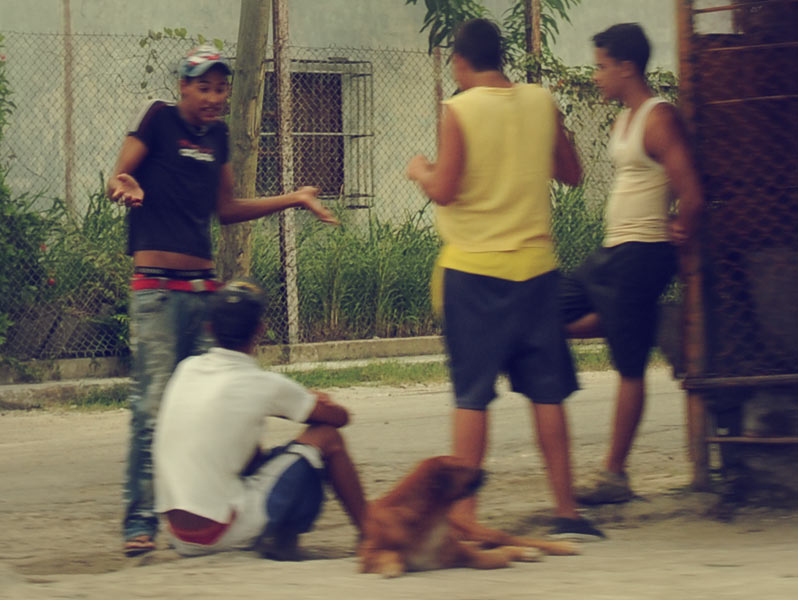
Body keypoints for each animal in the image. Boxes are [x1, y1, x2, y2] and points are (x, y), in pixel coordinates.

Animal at [360, 454, 580, 576]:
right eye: (461, 468)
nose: (486, 471)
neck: (428, 519)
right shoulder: (368, 555)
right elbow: (388, 554)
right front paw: (391, 567)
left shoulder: (461, 551)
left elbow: (494, 558)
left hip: (476, 532)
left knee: (513, 539)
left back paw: (557, 546)